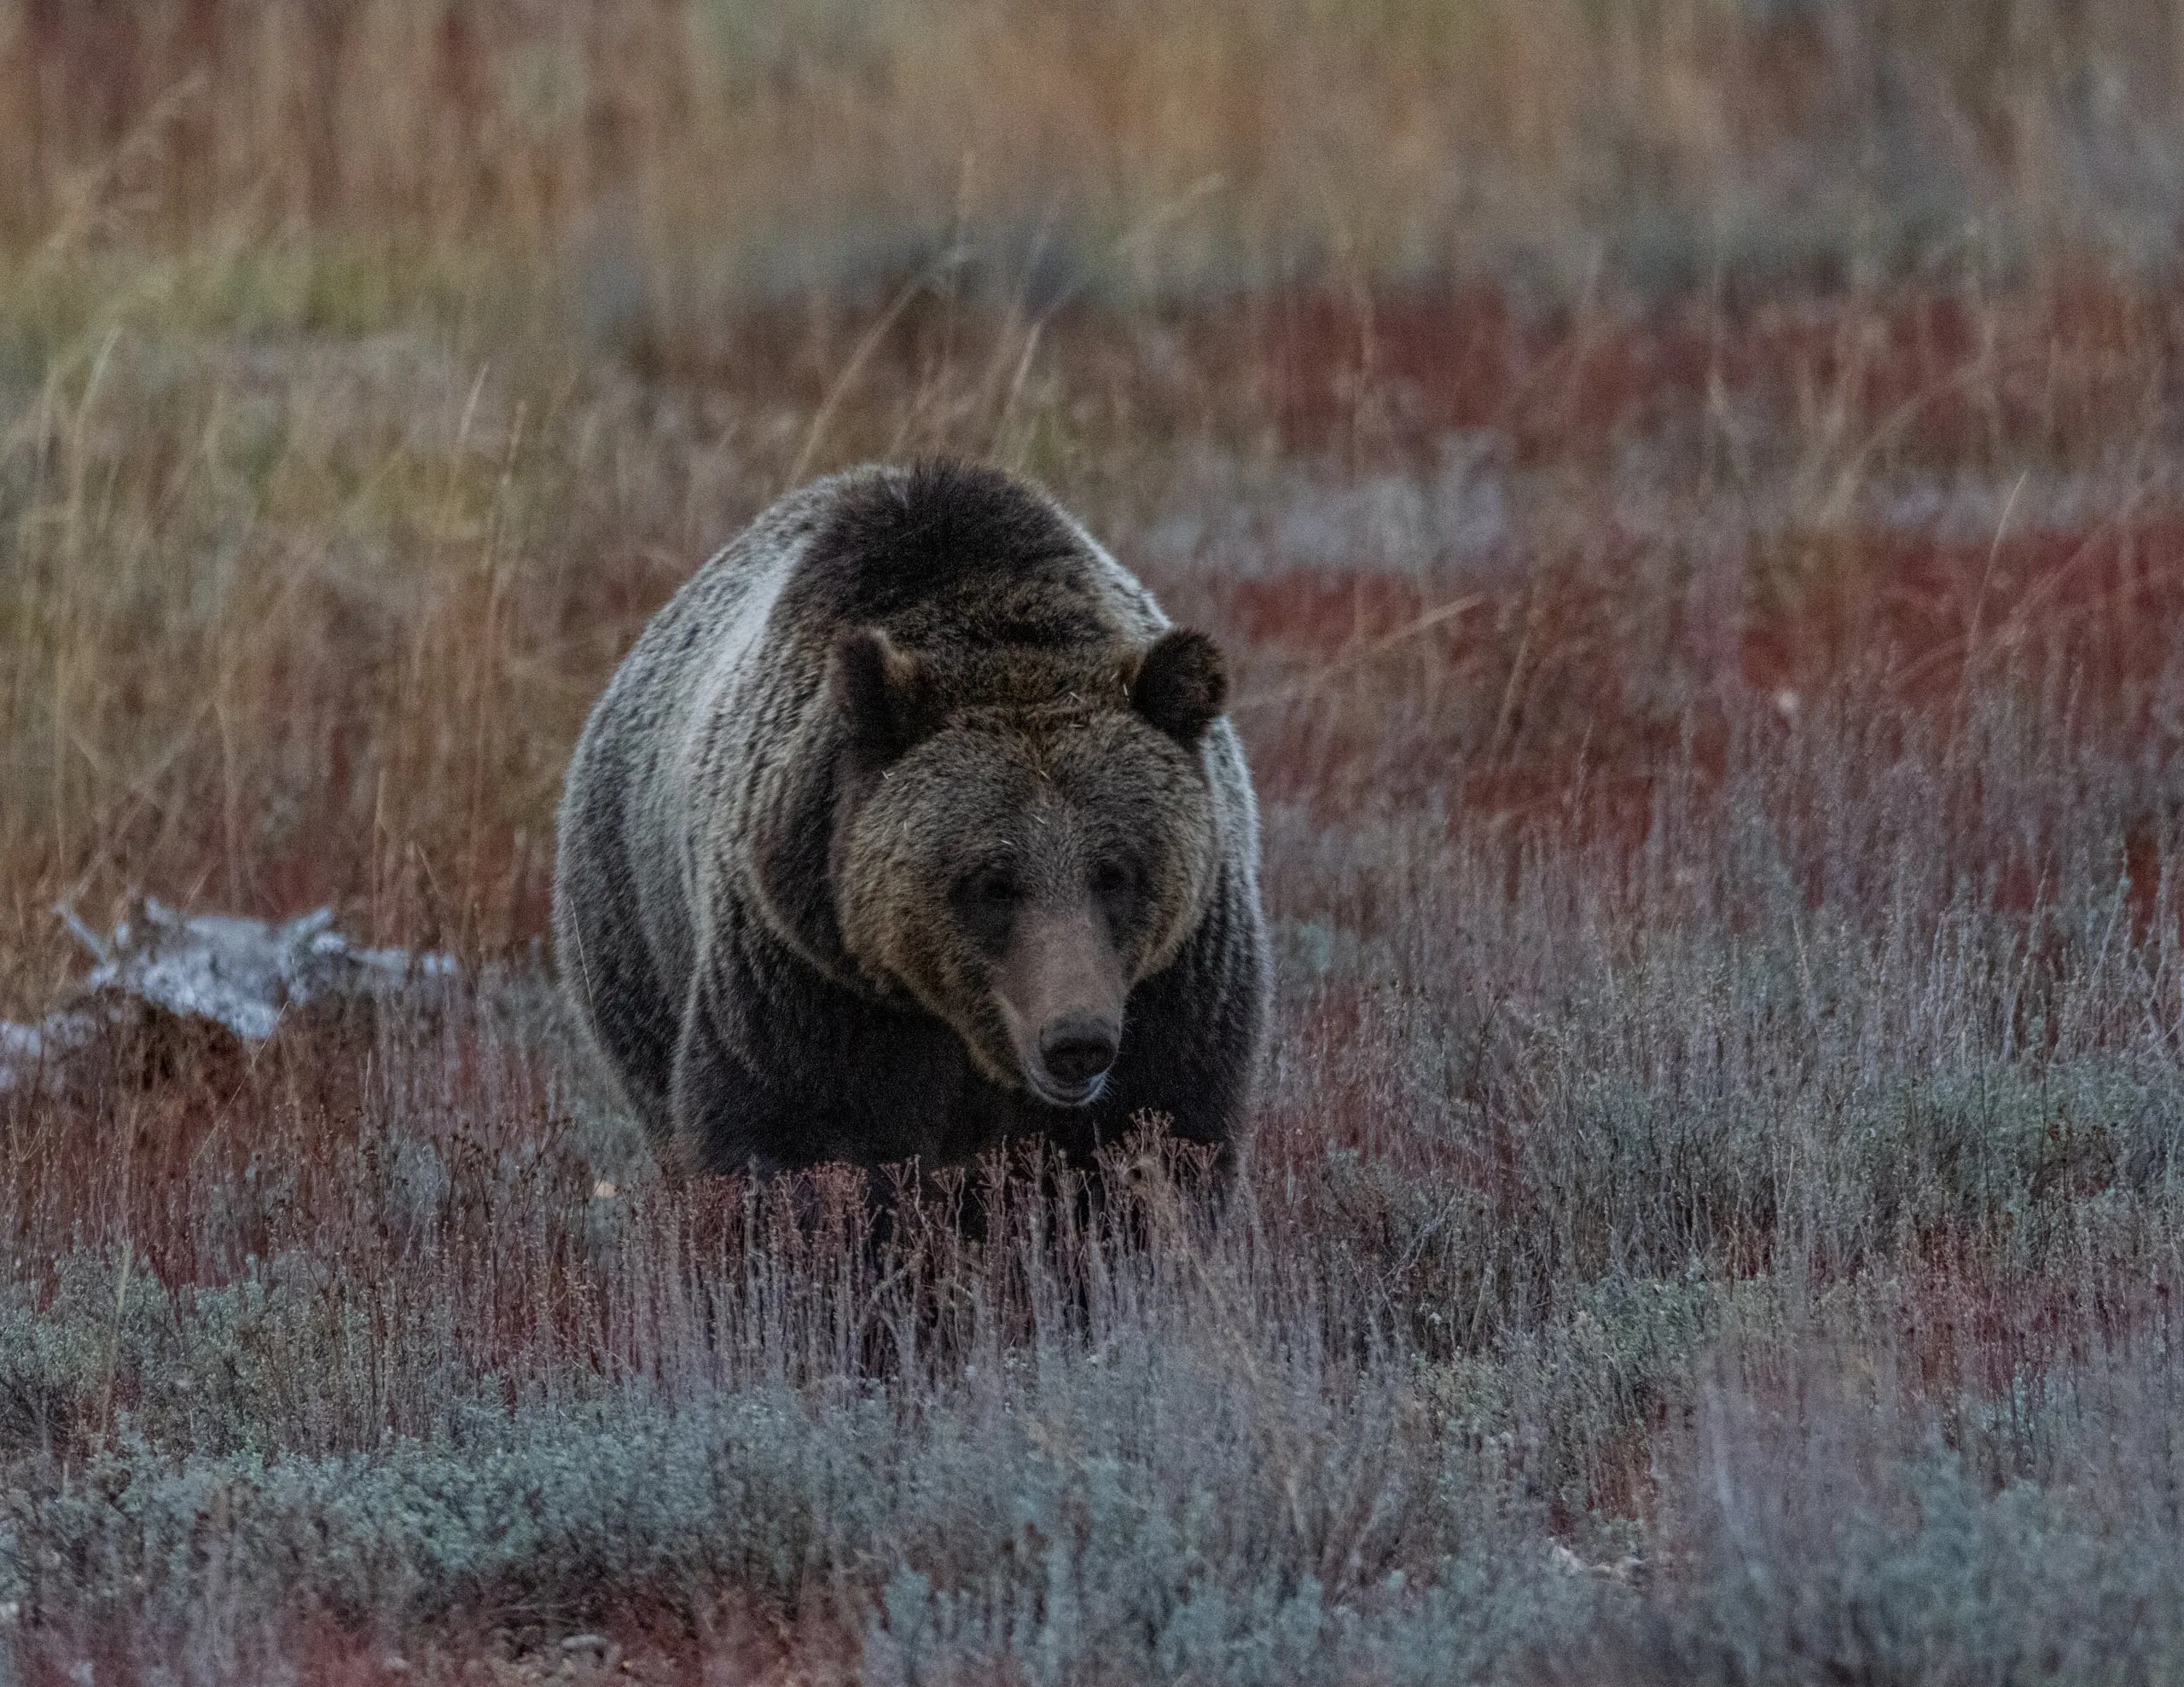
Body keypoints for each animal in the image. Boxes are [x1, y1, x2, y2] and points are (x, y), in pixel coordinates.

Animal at [553, 459, 1269, 1184]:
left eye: (1115, 872)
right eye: (992, 881)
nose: (1077, 1041)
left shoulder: (1177, 986)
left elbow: (1159, 1140)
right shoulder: (805, 974)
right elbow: (784, 1136)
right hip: (628, 933)